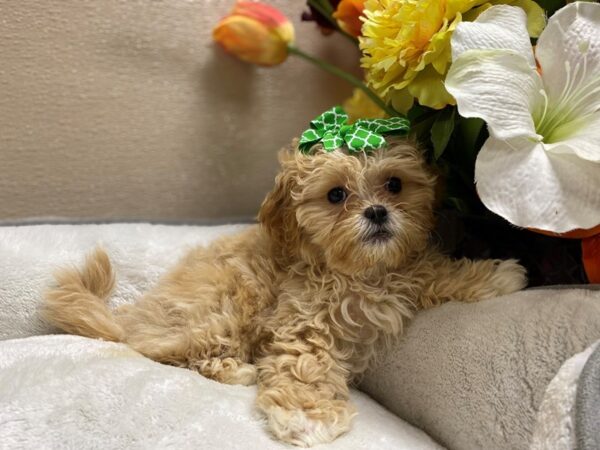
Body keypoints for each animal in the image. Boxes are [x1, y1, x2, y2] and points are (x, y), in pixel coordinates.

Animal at [42, 142, 528, 446]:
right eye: (336, 194)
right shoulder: (302, 321)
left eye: (394, 184)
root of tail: (126, 316)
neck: (359, 272)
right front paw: (306, 418)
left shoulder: (403, 270)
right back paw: (235, 369)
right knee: (164, 351)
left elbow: (432, 271)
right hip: (221, 310)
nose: (377, 212)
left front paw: (499, 276)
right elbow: (305, 369)